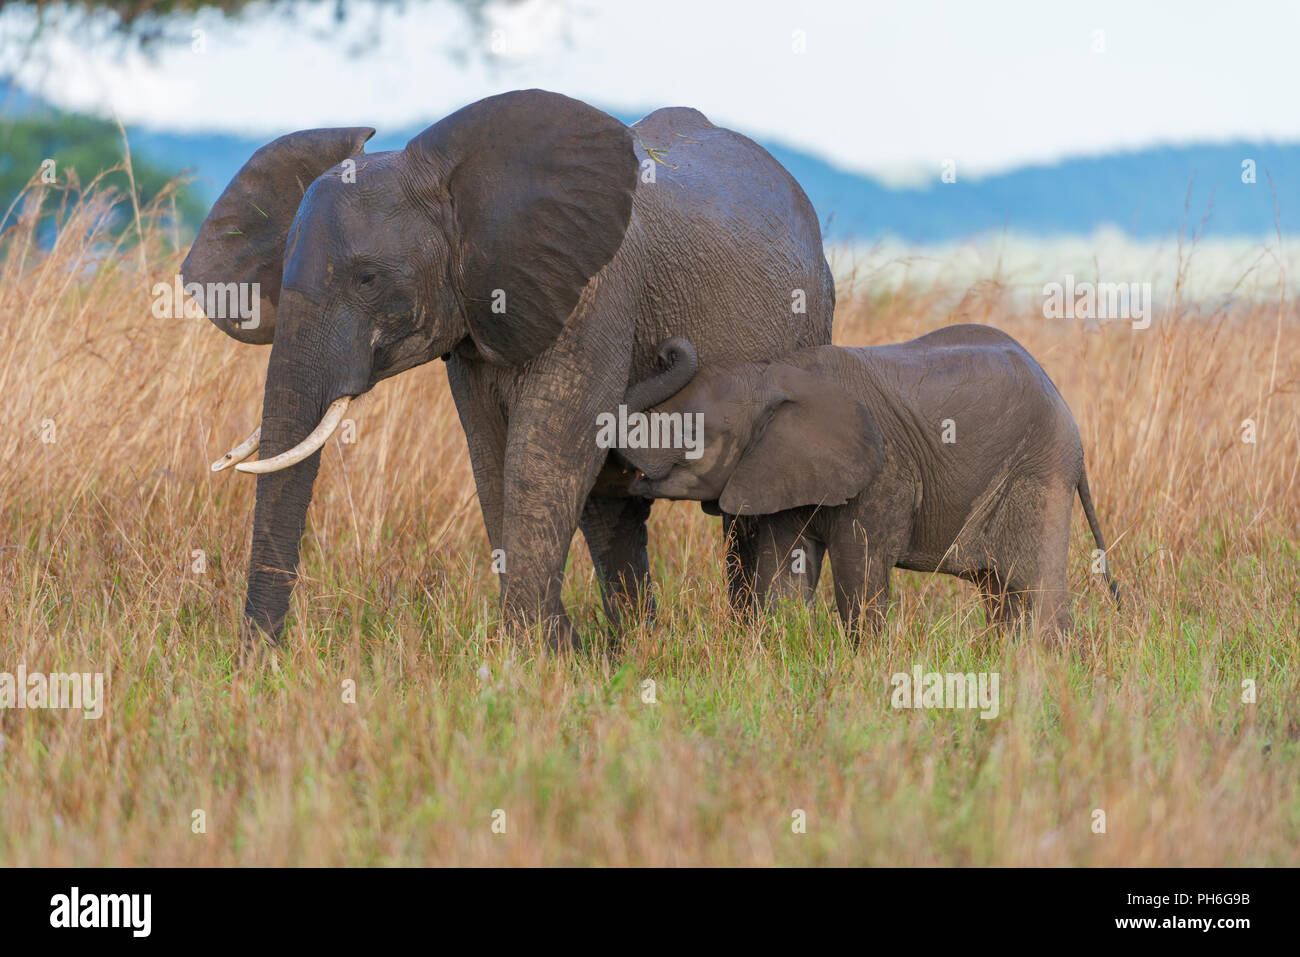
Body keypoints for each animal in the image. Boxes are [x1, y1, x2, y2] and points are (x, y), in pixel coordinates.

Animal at [185, 89, 832, 647]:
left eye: (368, 280)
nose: (259, 665)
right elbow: (490, 451)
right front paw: (555, 651)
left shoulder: (595, 293)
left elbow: (545, 453)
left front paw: (540, 654)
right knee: (614, 509)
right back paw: (643, 643)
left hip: (810, 319)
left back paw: (767, 636)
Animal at [616, 325, 1118, 639]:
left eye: (691, 434)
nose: (663, 350)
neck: (773, 375)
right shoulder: (777, 470)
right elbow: (782, 574)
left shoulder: (885, 472)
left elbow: (859, 571)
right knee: (1003, 593)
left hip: (1039, 472)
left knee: (1033, 589)